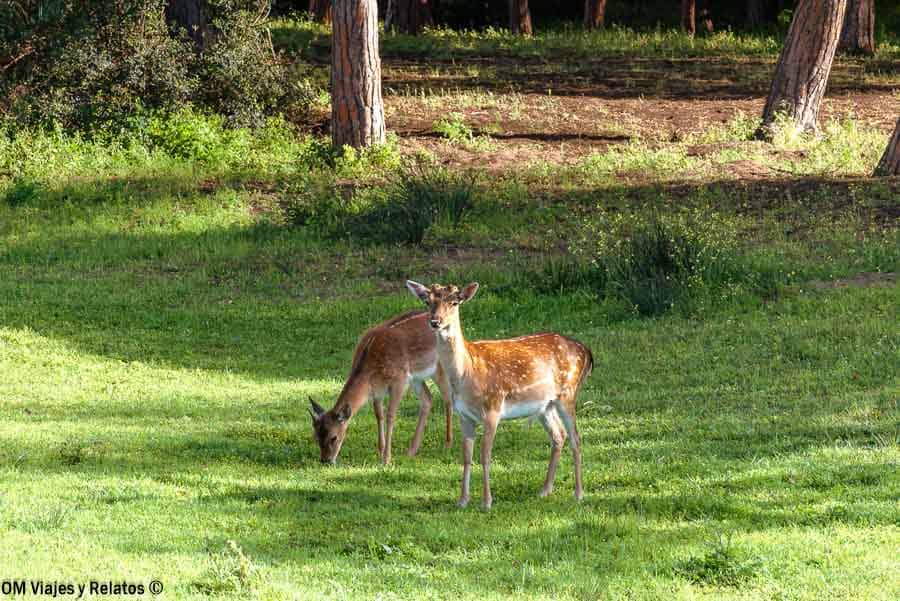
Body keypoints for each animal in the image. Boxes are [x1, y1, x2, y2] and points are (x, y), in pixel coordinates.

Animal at [310, 310, 454, 464]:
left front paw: (386, 459)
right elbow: (379, 415)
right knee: (428, 399)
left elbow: (390, 415)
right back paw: (411, 450)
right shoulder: (376, 390)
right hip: (416, 378)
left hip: (439, 367)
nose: (325, 460)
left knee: (448, 398)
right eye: (316, 436)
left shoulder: (399, 381)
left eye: (334, 437)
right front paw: (380, 451)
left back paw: (447, 444)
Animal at [406, 280, 592, 506]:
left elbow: (485, 455)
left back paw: (579, 494)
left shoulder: (493, 408)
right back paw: (545, 490)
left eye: (454, 302)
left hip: (568, 394)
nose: (435, 321)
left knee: (576, 438)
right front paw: (463, 500)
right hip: (545, 405)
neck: (467, 372)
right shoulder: (464, 415)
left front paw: (486, 502)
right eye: (427, 301)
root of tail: (587, 352)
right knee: (559, 435)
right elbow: (466, 456)